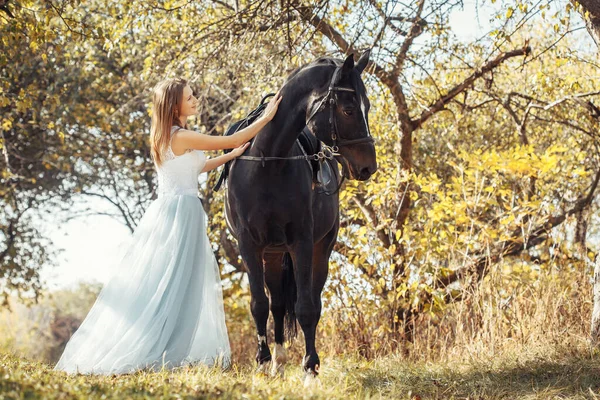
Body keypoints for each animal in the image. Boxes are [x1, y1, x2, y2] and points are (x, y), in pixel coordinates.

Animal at [224, 51, 376, 380]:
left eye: (367, 107)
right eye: (348, 109)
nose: (368, 167)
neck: (269, 162)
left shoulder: (302, 243)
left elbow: (306, 307)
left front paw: (310, 368)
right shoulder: (248, 245)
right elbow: (259, 304)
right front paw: (263, 361)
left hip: (320, 249)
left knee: (311, 301)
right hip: (271, 253)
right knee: (278, 305)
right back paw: (278, 362)